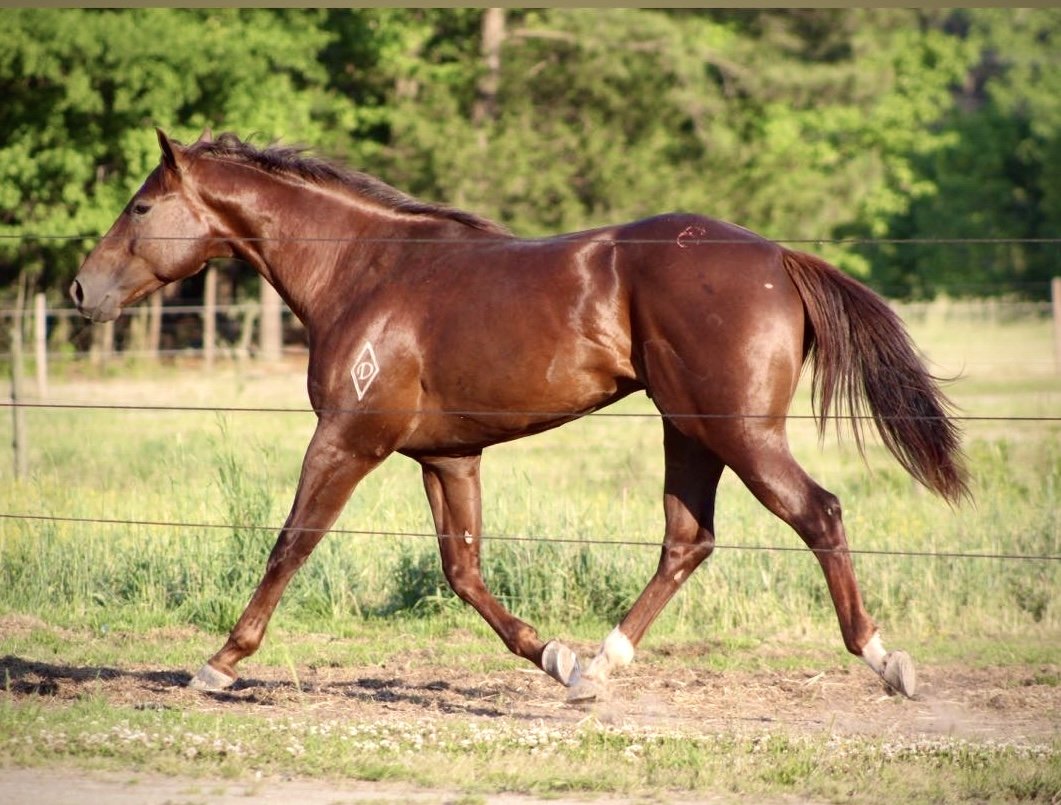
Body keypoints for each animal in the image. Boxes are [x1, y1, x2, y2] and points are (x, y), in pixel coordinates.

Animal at [71, 129, 967, 701]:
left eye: (141, 207)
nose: (82, 290)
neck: (364, 271)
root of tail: (779, 256)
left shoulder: (347, 439)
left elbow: (291, 543)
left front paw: (219, 662)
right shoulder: (447, 456)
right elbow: (462, 570)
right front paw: (554, 658)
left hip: (738, 431)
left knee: (817, 511)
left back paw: (884, 660)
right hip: (689, 428)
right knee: (688, 539)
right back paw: (600, 665)